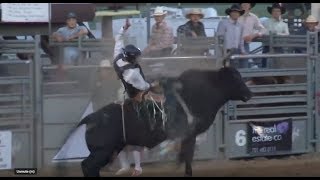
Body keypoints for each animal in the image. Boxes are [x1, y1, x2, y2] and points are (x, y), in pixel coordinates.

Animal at [76, 65, 251, 176]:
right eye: (234, 78)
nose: (249, 94)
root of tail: (91, 117)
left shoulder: (188, 136)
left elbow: (184, 157)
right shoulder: (190, 134)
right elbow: (187, 157)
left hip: (112, 148)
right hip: (102, 150)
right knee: (87, 166)